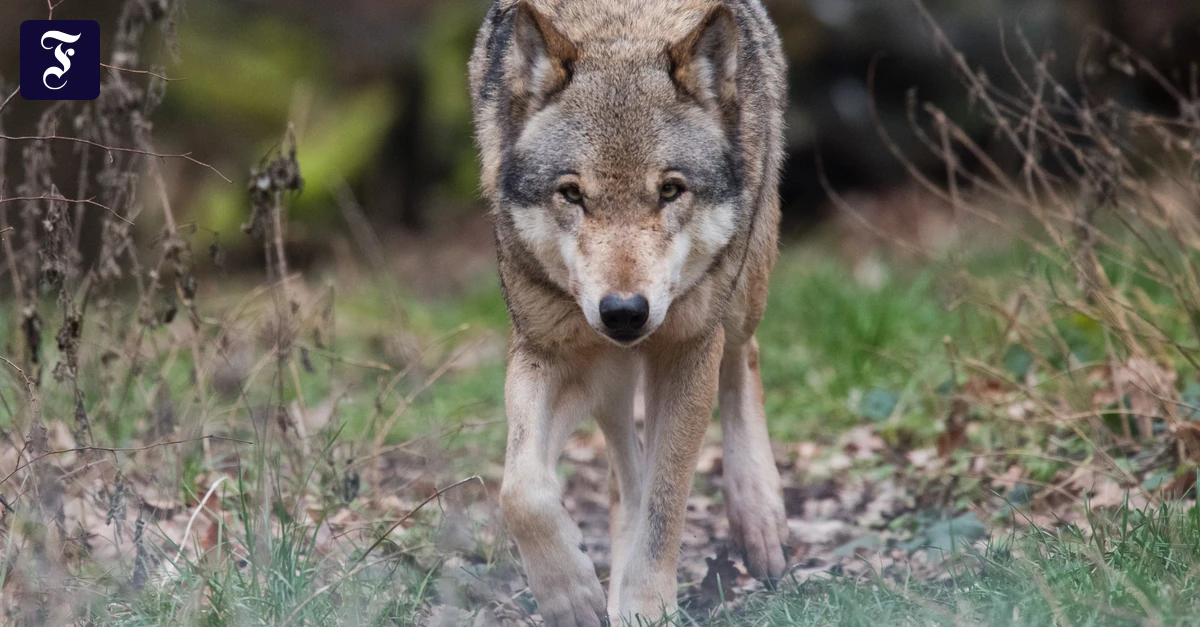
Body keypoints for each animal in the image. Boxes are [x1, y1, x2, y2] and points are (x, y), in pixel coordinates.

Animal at [469, 0, 788, 624]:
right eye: (573, 194)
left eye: (669, 191)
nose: (623, 312)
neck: (620, 25)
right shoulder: (549, 351)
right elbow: (521, 491)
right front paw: (571, 595)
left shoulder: (688, 350)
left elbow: (666, 507)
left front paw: (645, 604)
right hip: (607, 374)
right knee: (624, 469)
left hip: (741, 294)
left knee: (745, 357)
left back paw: (760, 521)